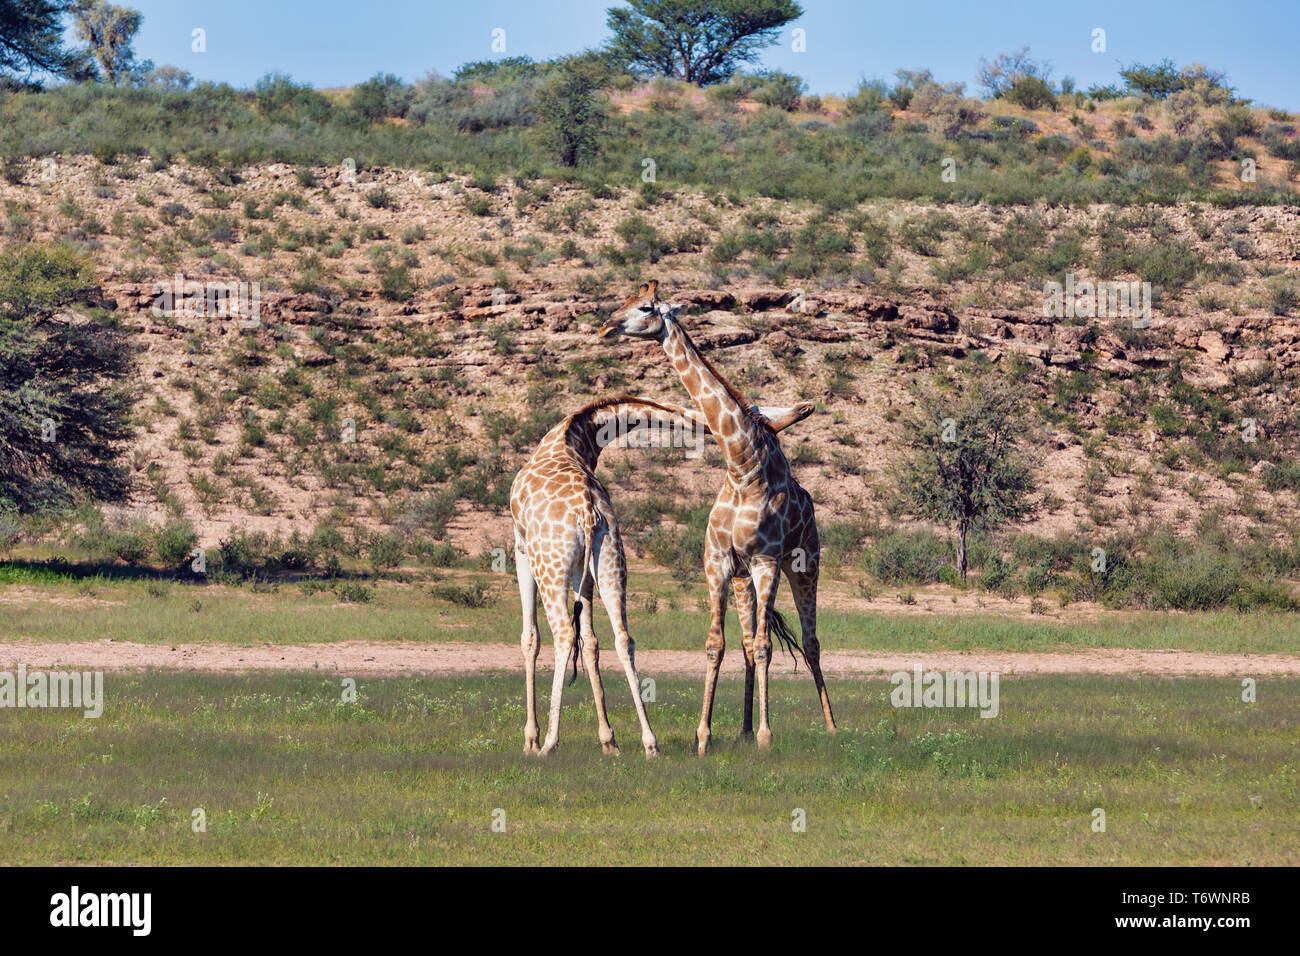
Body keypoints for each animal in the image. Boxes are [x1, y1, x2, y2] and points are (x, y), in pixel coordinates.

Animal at [509, 392, 811, 759]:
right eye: (761, 415)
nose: (805, 408)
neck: (573, 439)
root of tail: (587, 509)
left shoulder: (521, 546)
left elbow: (531, 638)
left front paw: (530, 738)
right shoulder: (584, 568)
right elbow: (592, 641)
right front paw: (607, 738)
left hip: (551, 563)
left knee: (565, 633)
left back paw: (550, 743)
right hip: (610, 557)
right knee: (623, 638)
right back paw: (645, 741)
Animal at [595, 283, 832, 754]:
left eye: (645, 307)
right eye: (623, 300)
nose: (606, 326)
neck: (741, 468)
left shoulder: (766, 562)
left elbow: (766, 646)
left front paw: (766, 736)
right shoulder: (719, 565)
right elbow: (716, 645)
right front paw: (703, 737)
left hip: (804, 565)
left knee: (810, 642)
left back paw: (829, 727)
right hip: (743, 580)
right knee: (746, 643)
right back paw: (742, 729)